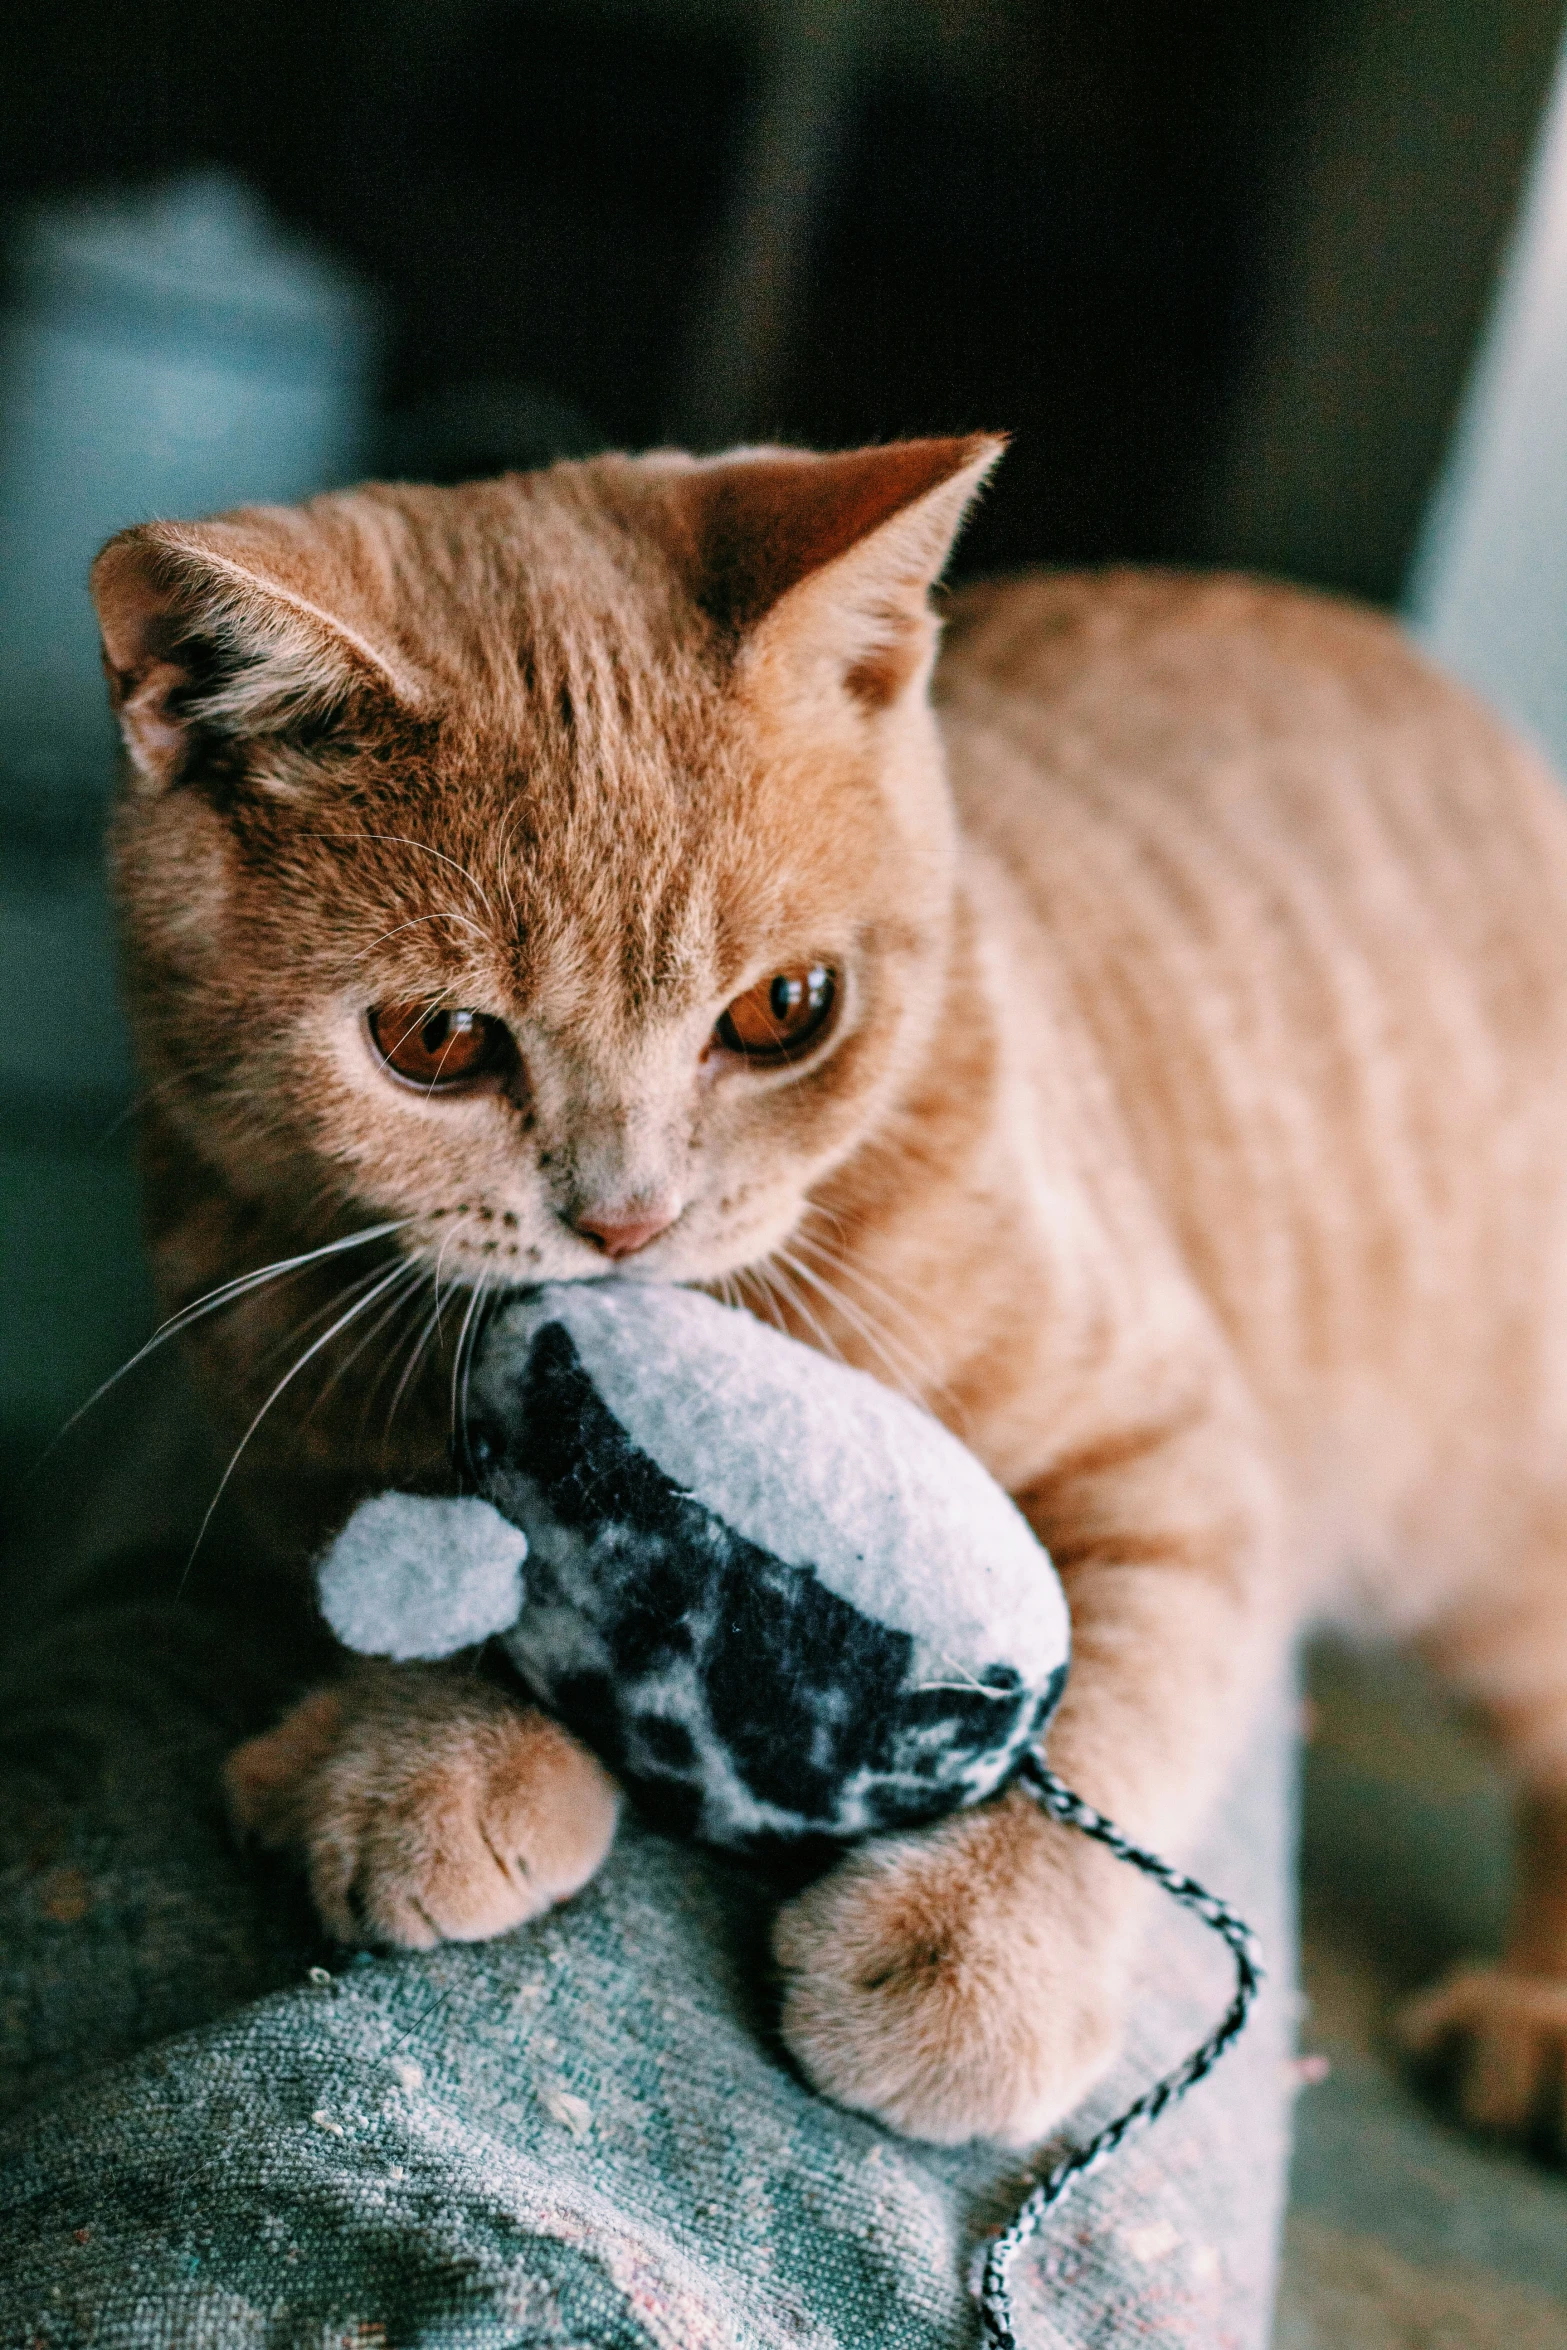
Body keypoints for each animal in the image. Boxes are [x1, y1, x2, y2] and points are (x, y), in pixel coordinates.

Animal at [92, 437, 1567, 2152]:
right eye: (435, 1041)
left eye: (783, 1011)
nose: (624, 1217)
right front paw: (423, 1753)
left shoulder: (1174, 1446)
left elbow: (1123, 1692)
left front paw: (976, 1954)